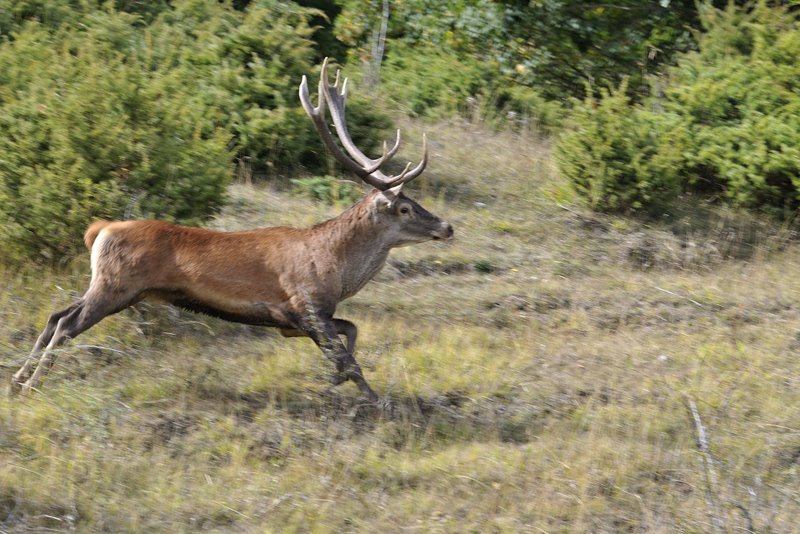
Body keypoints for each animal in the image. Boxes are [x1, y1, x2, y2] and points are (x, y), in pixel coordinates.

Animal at [9, 58, 454, 402]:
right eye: (405, 207)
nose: (447, 226)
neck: (335, 268)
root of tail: (99, 230)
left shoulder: (297, 322)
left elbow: (352, 334)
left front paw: (336, 381)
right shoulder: (303, 305)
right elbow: (349, 359)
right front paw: (374, 401)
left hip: (109, 285)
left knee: (55, 315)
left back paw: (16, 380)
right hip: (117, 285)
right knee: (66, 325)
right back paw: (31, 385)